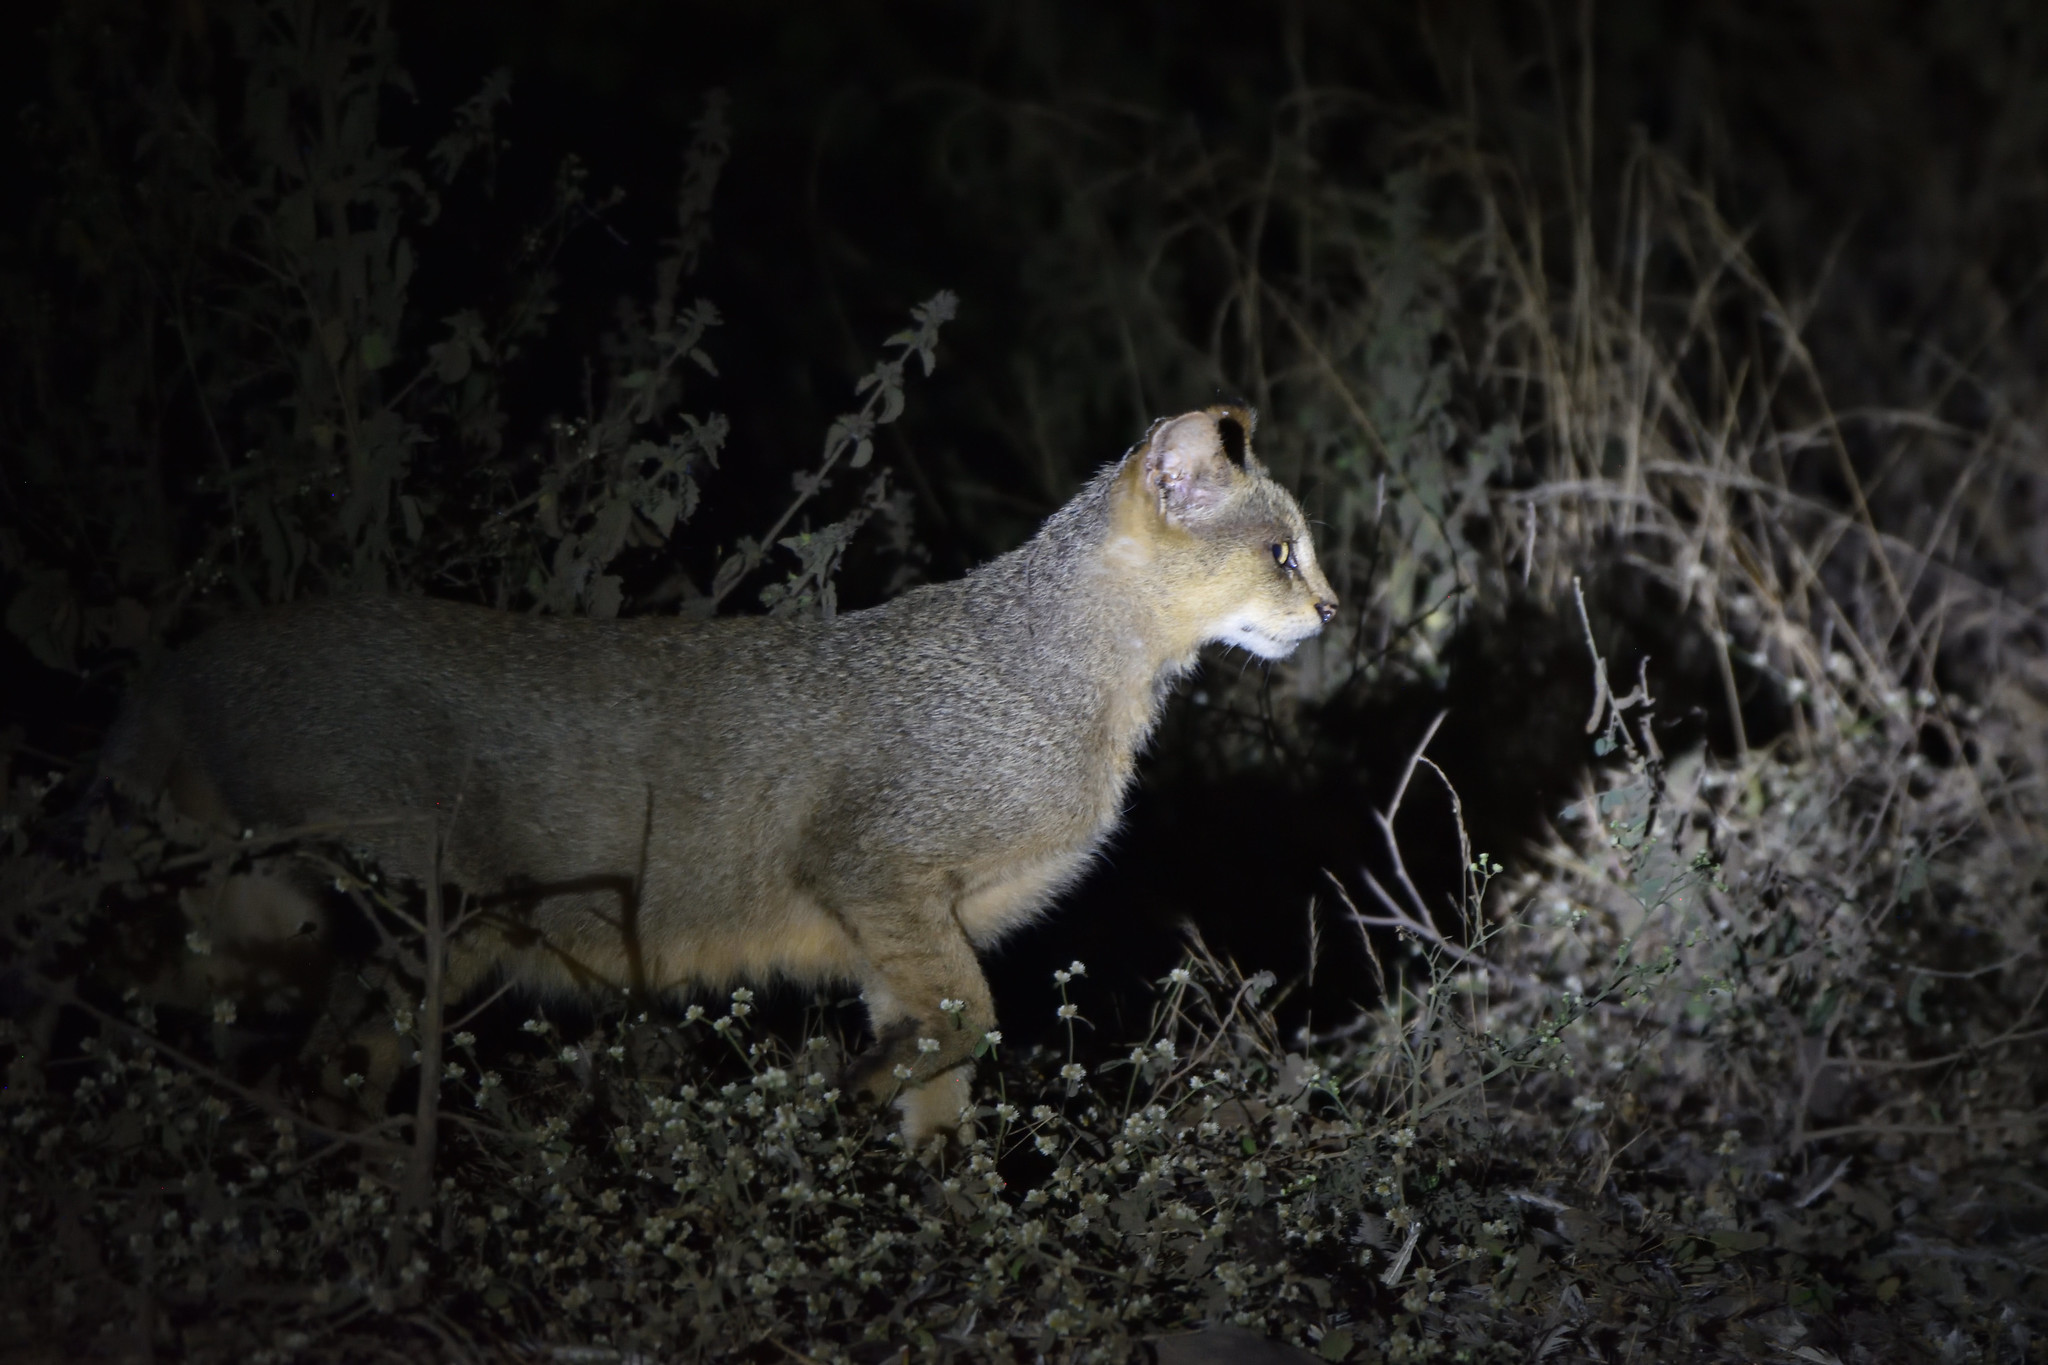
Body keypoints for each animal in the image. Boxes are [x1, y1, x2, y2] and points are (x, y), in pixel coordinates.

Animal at [101, 403, 1338, 1145]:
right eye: (1280, 552)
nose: (1332, 607)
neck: (1072, 681)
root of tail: (180, 663)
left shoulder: (900, 932)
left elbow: (945, 1068)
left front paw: (941, 1208)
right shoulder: (876, 871)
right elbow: (968, 1020)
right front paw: (859, 1097)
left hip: (264, 934)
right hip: (412, 935)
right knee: (316, 1073)